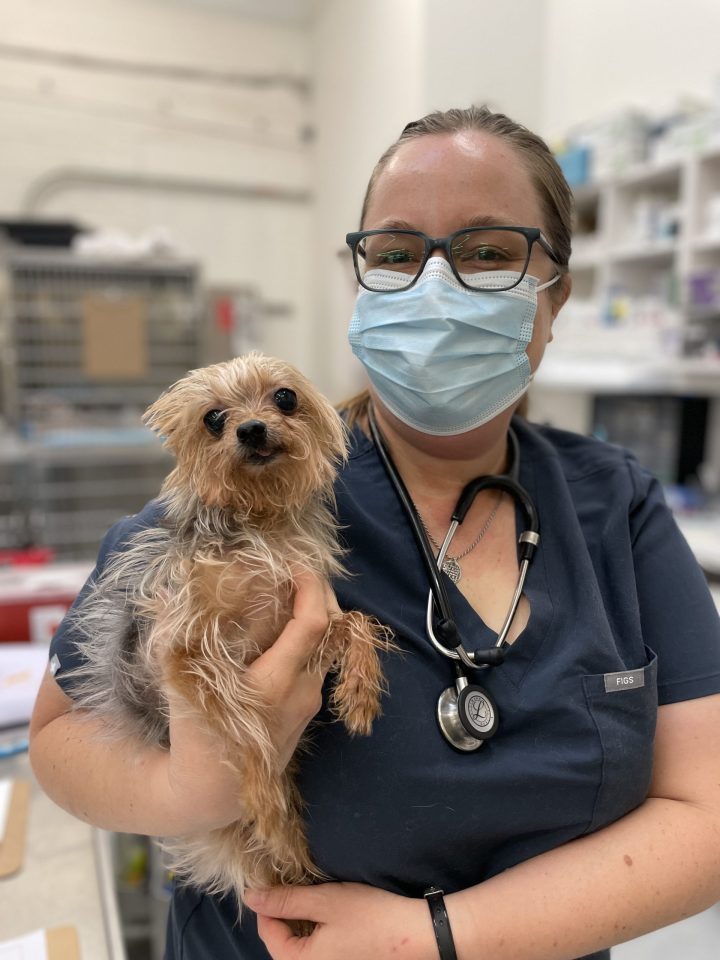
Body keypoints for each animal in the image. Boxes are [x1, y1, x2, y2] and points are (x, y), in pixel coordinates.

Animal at [67, 354, 390, 908]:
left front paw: (359, 691)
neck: (258, 523)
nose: (252, 428)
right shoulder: (189, 649)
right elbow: (251, 726)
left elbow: (357, 622)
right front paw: (262, 794)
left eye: (285, 397)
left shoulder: (301, 616)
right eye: (213, 418)